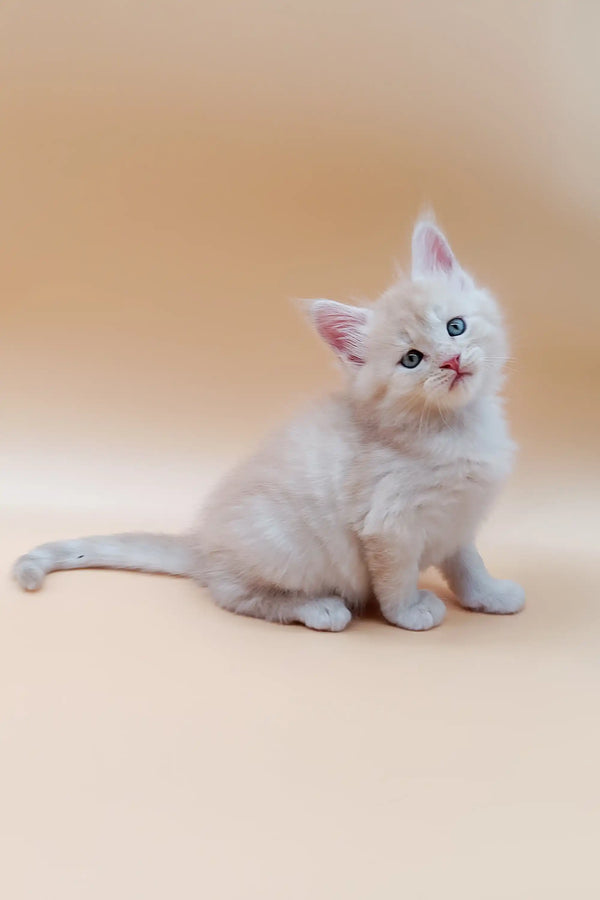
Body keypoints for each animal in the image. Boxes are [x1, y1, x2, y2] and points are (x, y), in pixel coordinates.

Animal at [11, 214, 524, 628]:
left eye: (455, 327)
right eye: (412, 359)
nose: (451, 362)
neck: (455, 427)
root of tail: (204, 545)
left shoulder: (458, 518)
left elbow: (467, 565)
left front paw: (490, 595)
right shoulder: (388, 525)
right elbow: (395, 580)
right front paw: (410, 612)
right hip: (287, 545)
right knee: (234, 594)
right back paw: (318, 608)